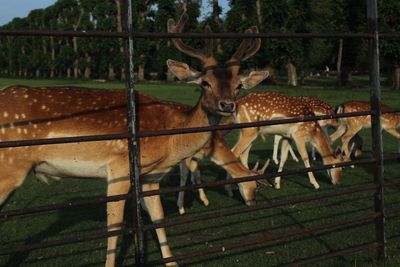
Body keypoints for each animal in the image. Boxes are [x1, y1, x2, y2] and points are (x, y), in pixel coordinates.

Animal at [0, 13, 270, 267]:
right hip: (9, 169)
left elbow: (158, 218)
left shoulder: (150, 177)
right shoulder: (119, 168)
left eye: (238, 85)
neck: (169, 142)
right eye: (205, 82)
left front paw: (172, 261)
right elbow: (114, 227)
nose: (228, 105)